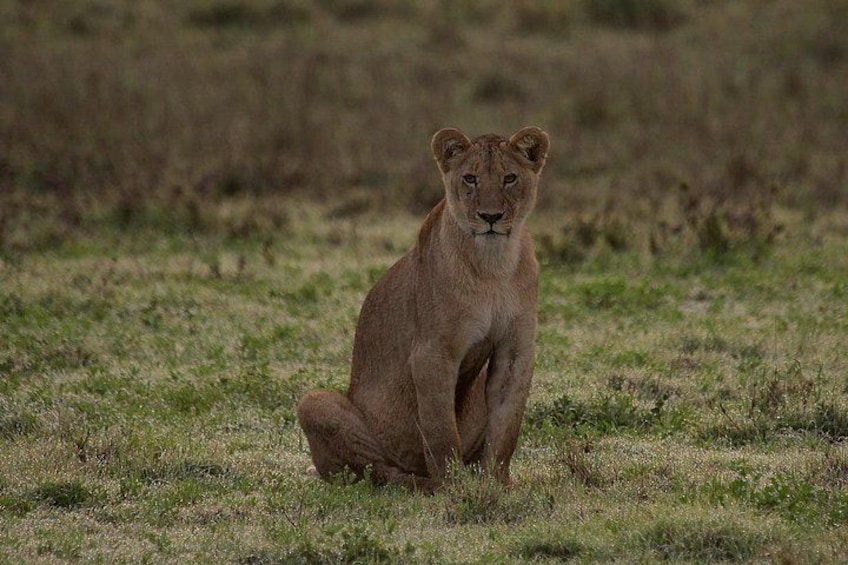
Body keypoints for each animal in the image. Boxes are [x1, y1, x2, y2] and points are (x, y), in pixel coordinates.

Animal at [296, 126, 550, 491]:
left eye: (510, 178)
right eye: (470, 178)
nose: (490, 217)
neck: (493, 265)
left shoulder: (515, 349)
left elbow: (506, 426)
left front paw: (498, 482)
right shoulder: (432, 353)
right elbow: (440, 430)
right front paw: (453, 485)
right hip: (315, 403)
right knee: (376, 471)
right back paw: (421, 483)